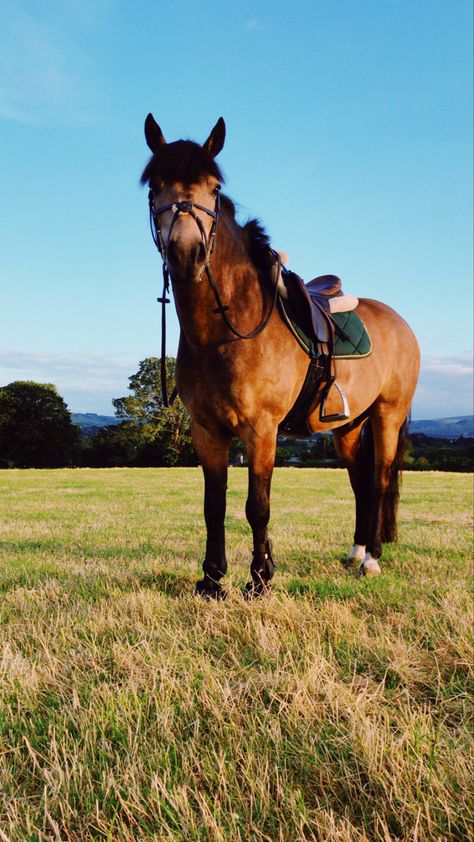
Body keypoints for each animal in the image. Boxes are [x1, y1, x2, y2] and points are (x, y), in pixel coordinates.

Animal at [140, 115, 418, 596]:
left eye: (214, 187)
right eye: (155, 186)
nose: (186, 253)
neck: (223, 332)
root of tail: (399, 322)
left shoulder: (261, 430)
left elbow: (258, 506)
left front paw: (259, 579)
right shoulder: (207, 431)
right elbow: (214, 506)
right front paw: (212, 579)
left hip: (388, 416)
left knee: (380, 480)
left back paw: (373, 560)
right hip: (349, 427)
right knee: (360, 483)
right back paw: (357, 551)